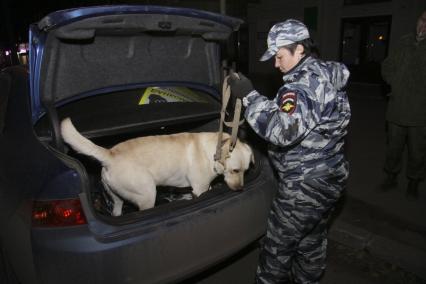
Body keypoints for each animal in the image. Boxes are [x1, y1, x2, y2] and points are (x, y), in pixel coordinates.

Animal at [60, 117, 253, 215]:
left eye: (245, 171)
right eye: (235, 170)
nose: (241, 189)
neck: (212, 152)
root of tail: (110, 154)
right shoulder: (199, 189)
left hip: (116, 197)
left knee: (117, 210)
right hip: (147, 193)